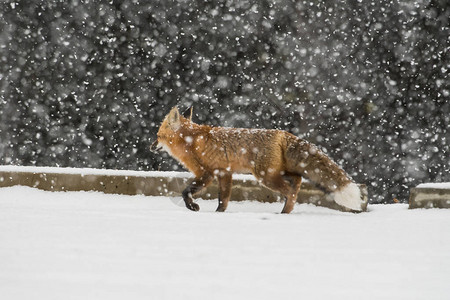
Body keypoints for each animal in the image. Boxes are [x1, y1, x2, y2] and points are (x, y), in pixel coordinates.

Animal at [153, 107, 364, 213]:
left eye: (158, 136)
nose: (150, 146)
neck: (190, 140)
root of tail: (283, 133)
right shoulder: (224, 173)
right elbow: (224, 198)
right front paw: (219, 214)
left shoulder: (207, 172)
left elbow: (186, 191)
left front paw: (193, 207)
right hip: (278, 172)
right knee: (297, 181)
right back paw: (286, 211)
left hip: (265, 177)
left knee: (290, 191)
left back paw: (284, 213)